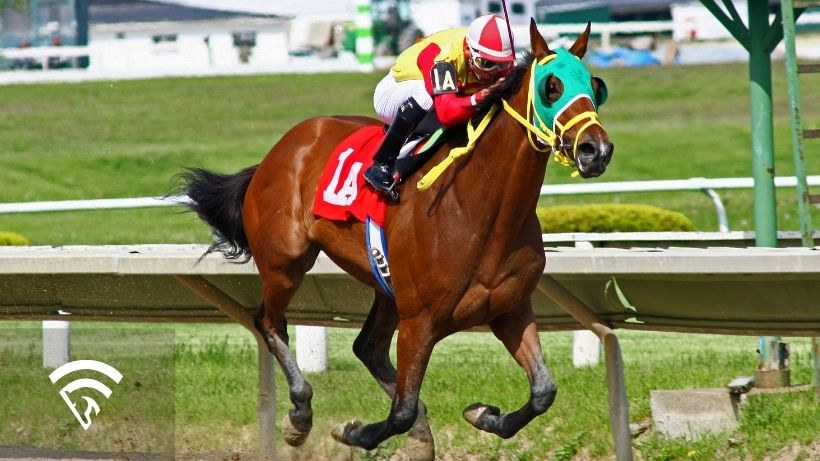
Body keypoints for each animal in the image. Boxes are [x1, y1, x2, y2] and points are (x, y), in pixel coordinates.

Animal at [181, 19, 612, 459]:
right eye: (551, 86)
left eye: (596, 86)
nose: (595, 150)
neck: (480, 211)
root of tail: (282, 148)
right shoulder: (420, 319)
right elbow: (402, 409)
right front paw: (355, 432)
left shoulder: (510, 310)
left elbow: (543, 391)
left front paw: (482, 414)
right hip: (285, 262)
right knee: (269, 322)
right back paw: (299, 414)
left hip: (386, 286)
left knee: (367, 347)